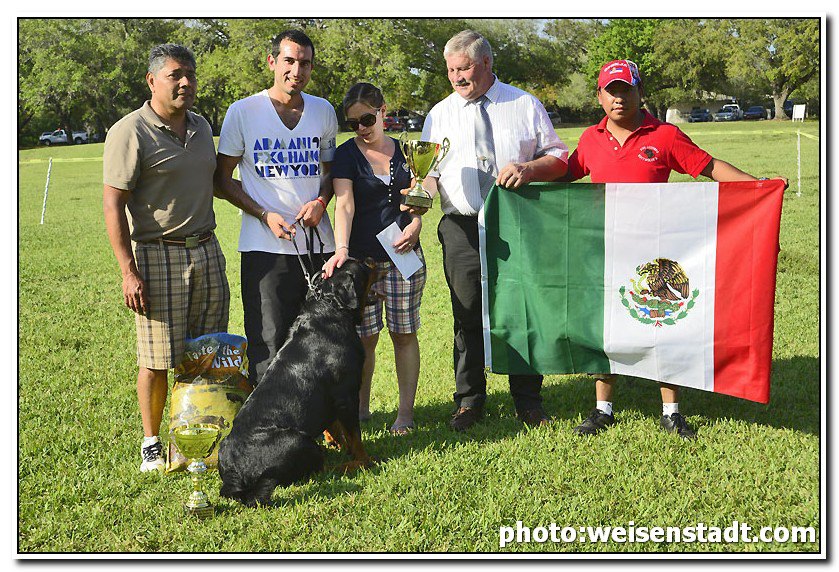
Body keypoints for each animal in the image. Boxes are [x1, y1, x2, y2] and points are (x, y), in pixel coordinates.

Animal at [223, 258, 380, 504]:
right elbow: (354, 434)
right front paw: (364, 458)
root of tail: (236, 476)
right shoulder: (346, 394)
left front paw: (340, 445)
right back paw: (350, 465)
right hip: (298, 440)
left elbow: (336, 427)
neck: (330, 310)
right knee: (318, 470)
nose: (373, 259)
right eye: (363, 266)